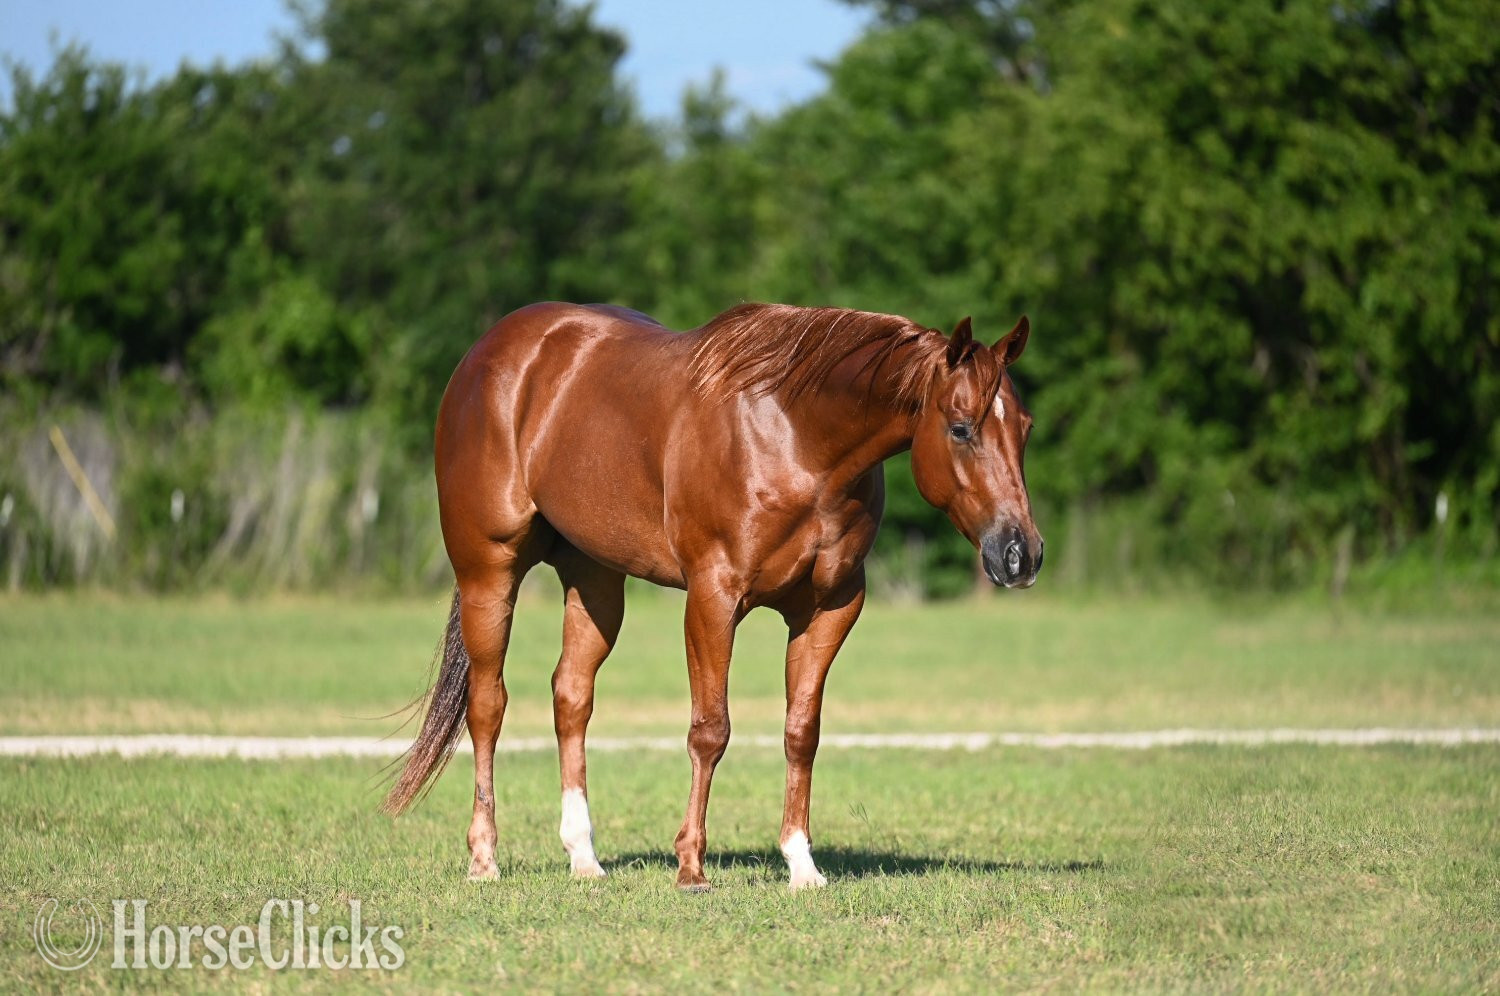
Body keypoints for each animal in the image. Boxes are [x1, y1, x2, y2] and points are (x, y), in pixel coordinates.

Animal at [382, 301, 1043, 891]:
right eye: (961, 427)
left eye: (1025, 429)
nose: (1021, 554)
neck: (796, 435)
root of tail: (489, 353)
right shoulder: (713, 598)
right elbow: (711, 729)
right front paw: (691, 866)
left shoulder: (830, 609)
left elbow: (802, 731)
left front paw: (801, 864)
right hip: (488, 572)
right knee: (487, 705)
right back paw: (484, 858)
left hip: (595, 578)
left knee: (570, 696)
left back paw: (583, 857)